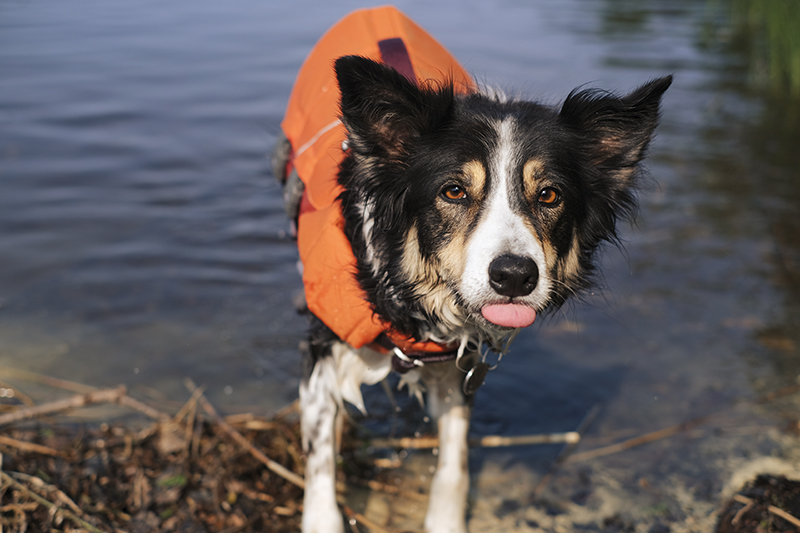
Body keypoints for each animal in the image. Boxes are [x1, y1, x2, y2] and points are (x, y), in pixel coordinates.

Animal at [272, 5, 672, 532]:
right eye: (454, 191)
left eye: (550, 195)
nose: (515, 276)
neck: (410, 296)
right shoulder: (322, 346)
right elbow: (320, 457)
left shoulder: (461, 366)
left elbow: (454, 462)